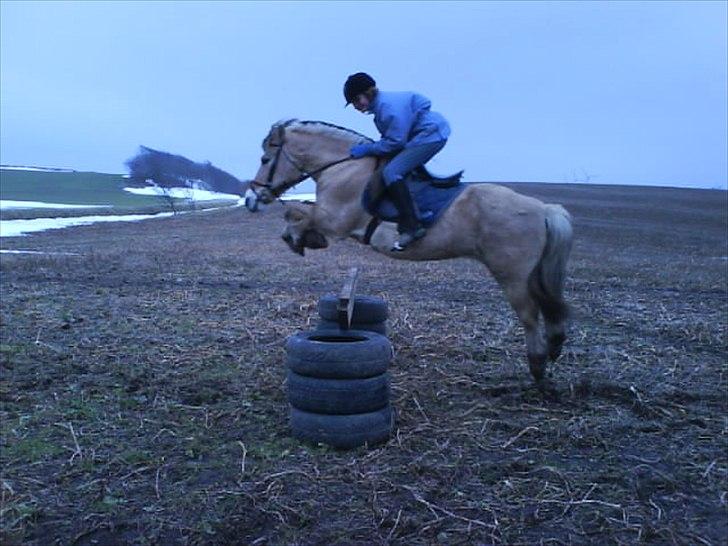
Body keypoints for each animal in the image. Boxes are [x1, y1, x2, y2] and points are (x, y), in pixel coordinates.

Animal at [250, 118, 576, 378]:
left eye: (266, 159)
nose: (254, 197)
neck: (344, 167)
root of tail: (545, 210)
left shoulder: (335, 219)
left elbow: (297, 213)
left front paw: (297, 238)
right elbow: (298, 214)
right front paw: (305, 238)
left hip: (512, 275)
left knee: (530, 314)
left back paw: (537, 367)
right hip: (532, 273)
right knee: (548, 308)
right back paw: (554, 346)